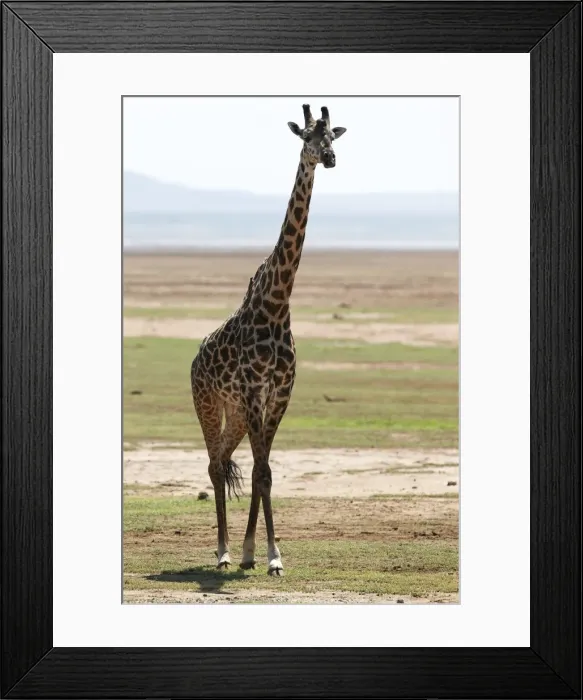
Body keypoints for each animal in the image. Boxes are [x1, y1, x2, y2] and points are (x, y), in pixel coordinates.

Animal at [191, 104, 347, 575]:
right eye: (307, 137)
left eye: (332, 136)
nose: (329, 158)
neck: (278, 303)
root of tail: (194, 359)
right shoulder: (253, 390)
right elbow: (260, 472)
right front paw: (263, 555)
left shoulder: (277, 395)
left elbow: (265, 471)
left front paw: (263, 554)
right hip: (208, 403)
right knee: (214, 464)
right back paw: (221, 551)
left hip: (238, 413)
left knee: (226, 459)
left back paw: (235, 551)